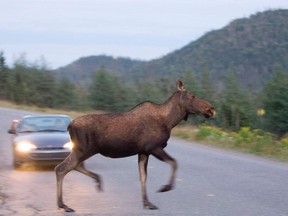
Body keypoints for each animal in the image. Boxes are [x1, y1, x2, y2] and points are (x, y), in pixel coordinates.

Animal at [55, 79, 215, 211]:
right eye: (192, 96)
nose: (211, 108)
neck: (170, 121)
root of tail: (69, 126)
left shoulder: (143, 151)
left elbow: (143, 177)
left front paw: (147, 203)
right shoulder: (154, 148)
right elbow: (174, 162)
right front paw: (165, 188)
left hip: (81, 150)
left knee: (72, 166)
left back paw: (95, 181)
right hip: (83, 150)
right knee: (62, 168)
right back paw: (63, 205)